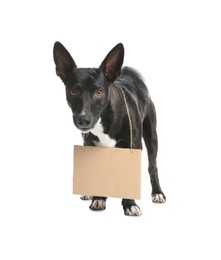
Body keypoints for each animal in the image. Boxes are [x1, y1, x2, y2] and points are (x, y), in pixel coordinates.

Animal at [52, 42, 165, 215]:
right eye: (73, 91)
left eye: (99, 92)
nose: (83, 120)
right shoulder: (93, 149)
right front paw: (98, 198)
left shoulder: (132, 147)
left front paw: (129, 204)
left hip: (151, 136)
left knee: (153, 166)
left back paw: (157, 193)